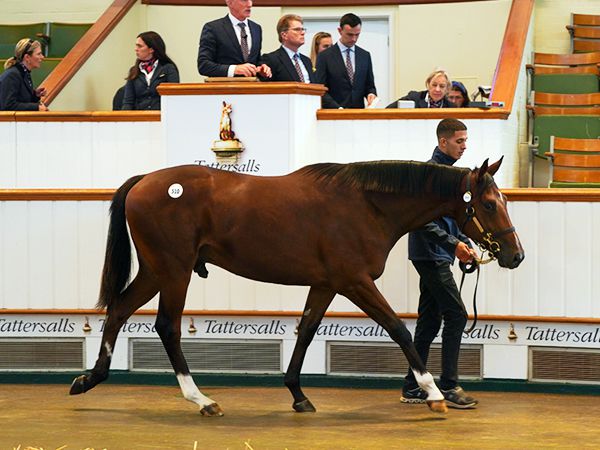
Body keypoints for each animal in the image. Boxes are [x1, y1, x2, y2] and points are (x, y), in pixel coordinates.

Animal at [70, 157, 524, 414]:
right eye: (488, 204)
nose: (515, 255)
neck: (366, 205)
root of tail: (145, 180)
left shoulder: (325, 285)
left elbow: (306, 331)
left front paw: (297, 394)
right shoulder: (355, 282)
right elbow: (399, 329)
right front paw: (432, 394)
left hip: (155, 271)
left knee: (119, 309)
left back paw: (89, 380)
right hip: (174, 271)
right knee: (166, 326)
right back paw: (201, 399)